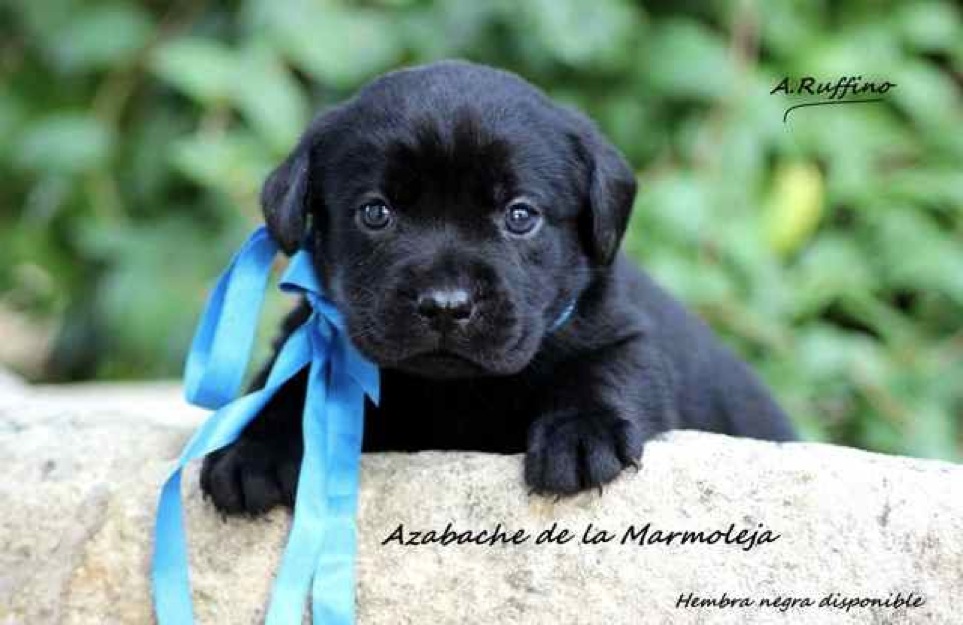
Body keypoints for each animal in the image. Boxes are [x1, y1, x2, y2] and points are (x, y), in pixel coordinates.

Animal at [200, 61, 796, 516]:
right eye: (375, 212)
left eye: (520, 215)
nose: (445, 306)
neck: (454, 390)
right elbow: (284, 384)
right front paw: (251, 450)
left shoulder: (624, 335)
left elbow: (606, 370)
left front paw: (583, 435)